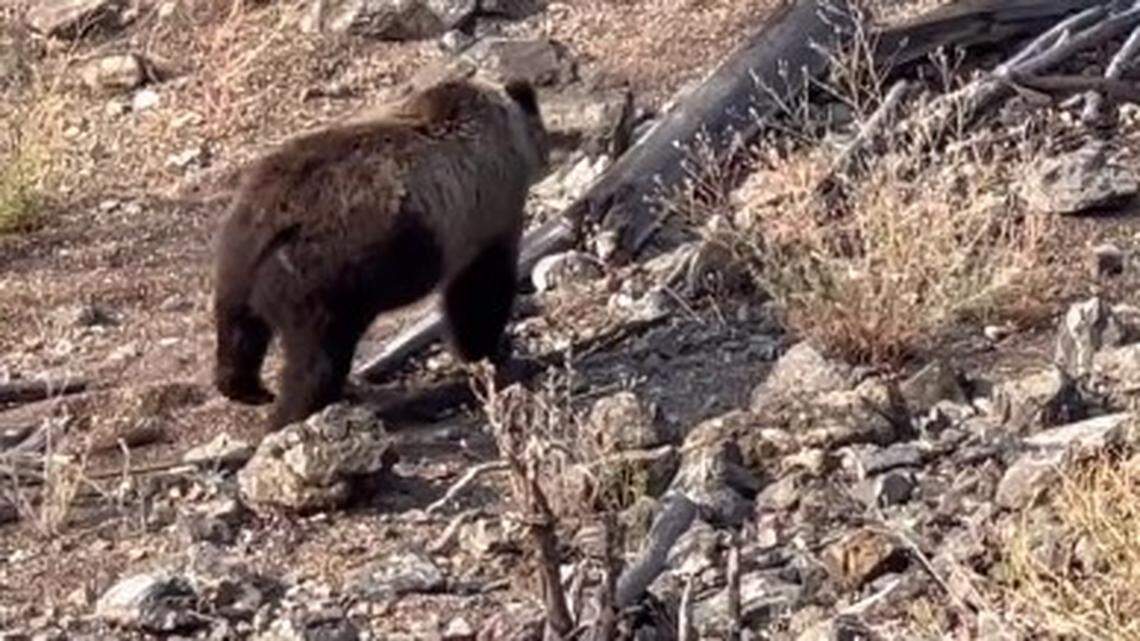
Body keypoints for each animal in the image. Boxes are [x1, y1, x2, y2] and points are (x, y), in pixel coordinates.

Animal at [211, 76, 549, 431]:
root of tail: (281, 215)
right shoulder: (482, 217)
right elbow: (479, 293)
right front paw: (493, 354)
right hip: (322, 278)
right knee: (317, 356)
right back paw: (294, 414)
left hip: (240, 249)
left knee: (238, 324)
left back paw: (247, 387)